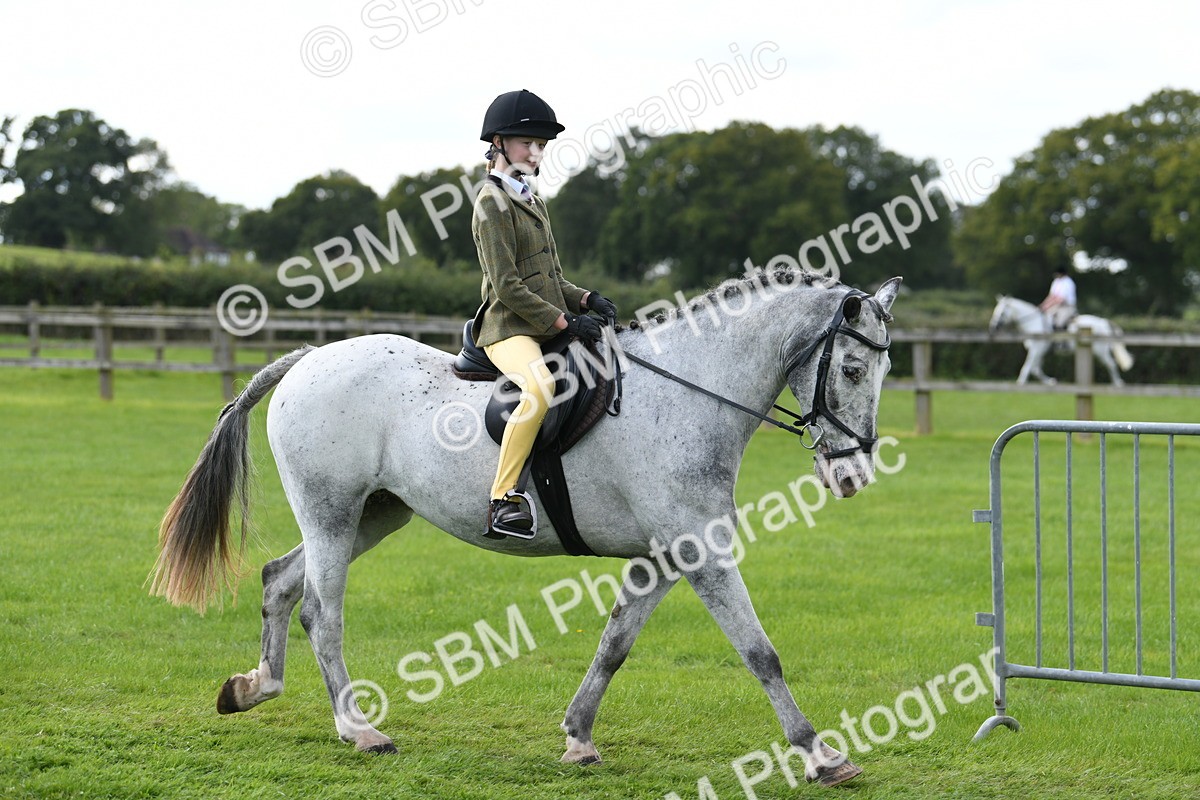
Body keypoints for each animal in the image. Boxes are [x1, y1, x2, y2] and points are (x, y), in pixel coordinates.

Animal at [149, 269, 902, 788]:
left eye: (884, 370)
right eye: (852, 368)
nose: (853, 476)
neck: (687, 395)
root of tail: (307, 359)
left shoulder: (664, 556)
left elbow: (614, 645)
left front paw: (578, 737)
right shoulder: (701, 552)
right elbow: (759, 652)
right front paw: (821, 754)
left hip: (373, 515)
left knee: (280, 580)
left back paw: (253, 687)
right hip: (332, 513)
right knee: (320, 611)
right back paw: (358, 730)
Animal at [988, 295, 1133, 386]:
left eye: (1002, 313)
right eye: (995, 311)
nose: (993, 327)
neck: (1034, 324)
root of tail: (1103, 322)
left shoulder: (1036, 349)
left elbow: (1028, 367)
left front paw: (1020, 382)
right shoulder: (1039, 351)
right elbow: (1036, 369)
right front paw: (1050, 381)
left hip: (1100, 351)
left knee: (1111, 364)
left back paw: (1118, 383)